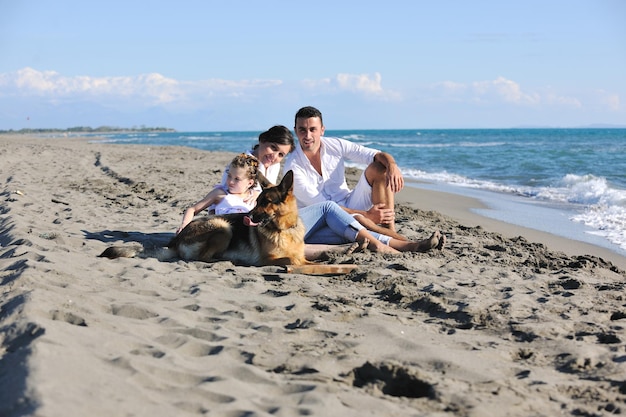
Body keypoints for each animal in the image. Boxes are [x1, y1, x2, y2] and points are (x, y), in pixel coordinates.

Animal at [100, 171, 308, 264]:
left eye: (266, 202)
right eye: (257, 201)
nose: (246, 218)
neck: (284, 229)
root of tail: (176, 240)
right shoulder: (267, 260)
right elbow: (291, 260)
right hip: (223, 227)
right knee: (202, 258)